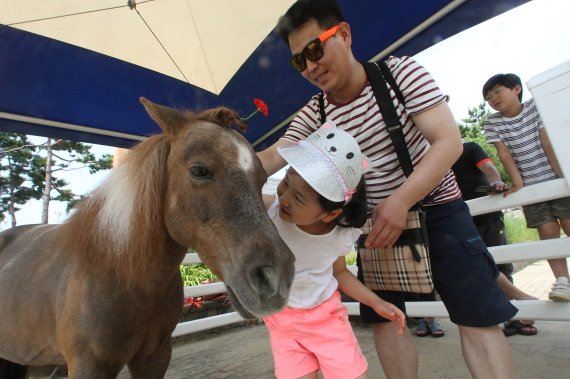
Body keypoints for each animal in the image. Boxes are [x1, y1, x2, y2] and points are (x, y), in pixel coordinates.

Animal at [0, 98, 292, 379]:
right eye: (199, 170)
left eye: (262, 177)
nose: (276, 277)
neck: (122, 271)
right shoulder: (89, 367)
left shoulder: (155, 357)